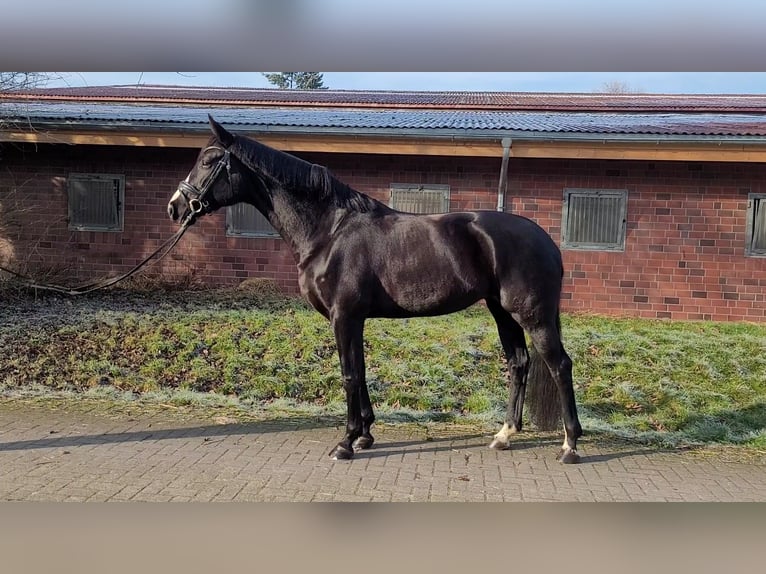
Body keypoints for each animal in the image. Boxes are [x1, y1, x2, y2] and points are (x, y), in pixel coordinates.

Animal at [168, 116, 584, 464]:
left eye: (209, 161)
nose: (176, 207)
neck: (329, 232)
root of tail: (546, 241)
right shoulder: (355, 319)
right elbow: (361, 370)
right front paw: (366, 435)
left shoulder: (344, 317)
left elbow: (349, 374)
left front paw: (346, 443)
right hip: (502, 313)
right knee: (519, 363)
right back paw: (505, 435)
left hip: (531, 315)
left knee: (560, 365)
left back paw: (569, 446)